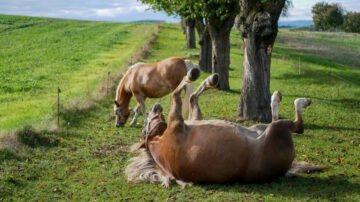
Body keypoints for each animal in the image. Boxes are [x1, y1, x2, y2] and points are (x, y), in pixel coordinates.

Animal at [125, 68, 328, 188]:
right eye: (145, 126)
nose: (155, 107)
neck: (162, 148)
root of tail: (285, 170)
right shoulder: (176, 121)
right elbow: (176, 93)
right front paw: (192, 74)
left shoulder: (191, 120)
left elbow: (192, 98)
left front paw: (209, 80)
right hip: (276, 131)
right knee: (297, 125)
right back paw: (298, 101)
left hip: (259, 127)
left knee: (275, 118)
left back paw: (276, 98)